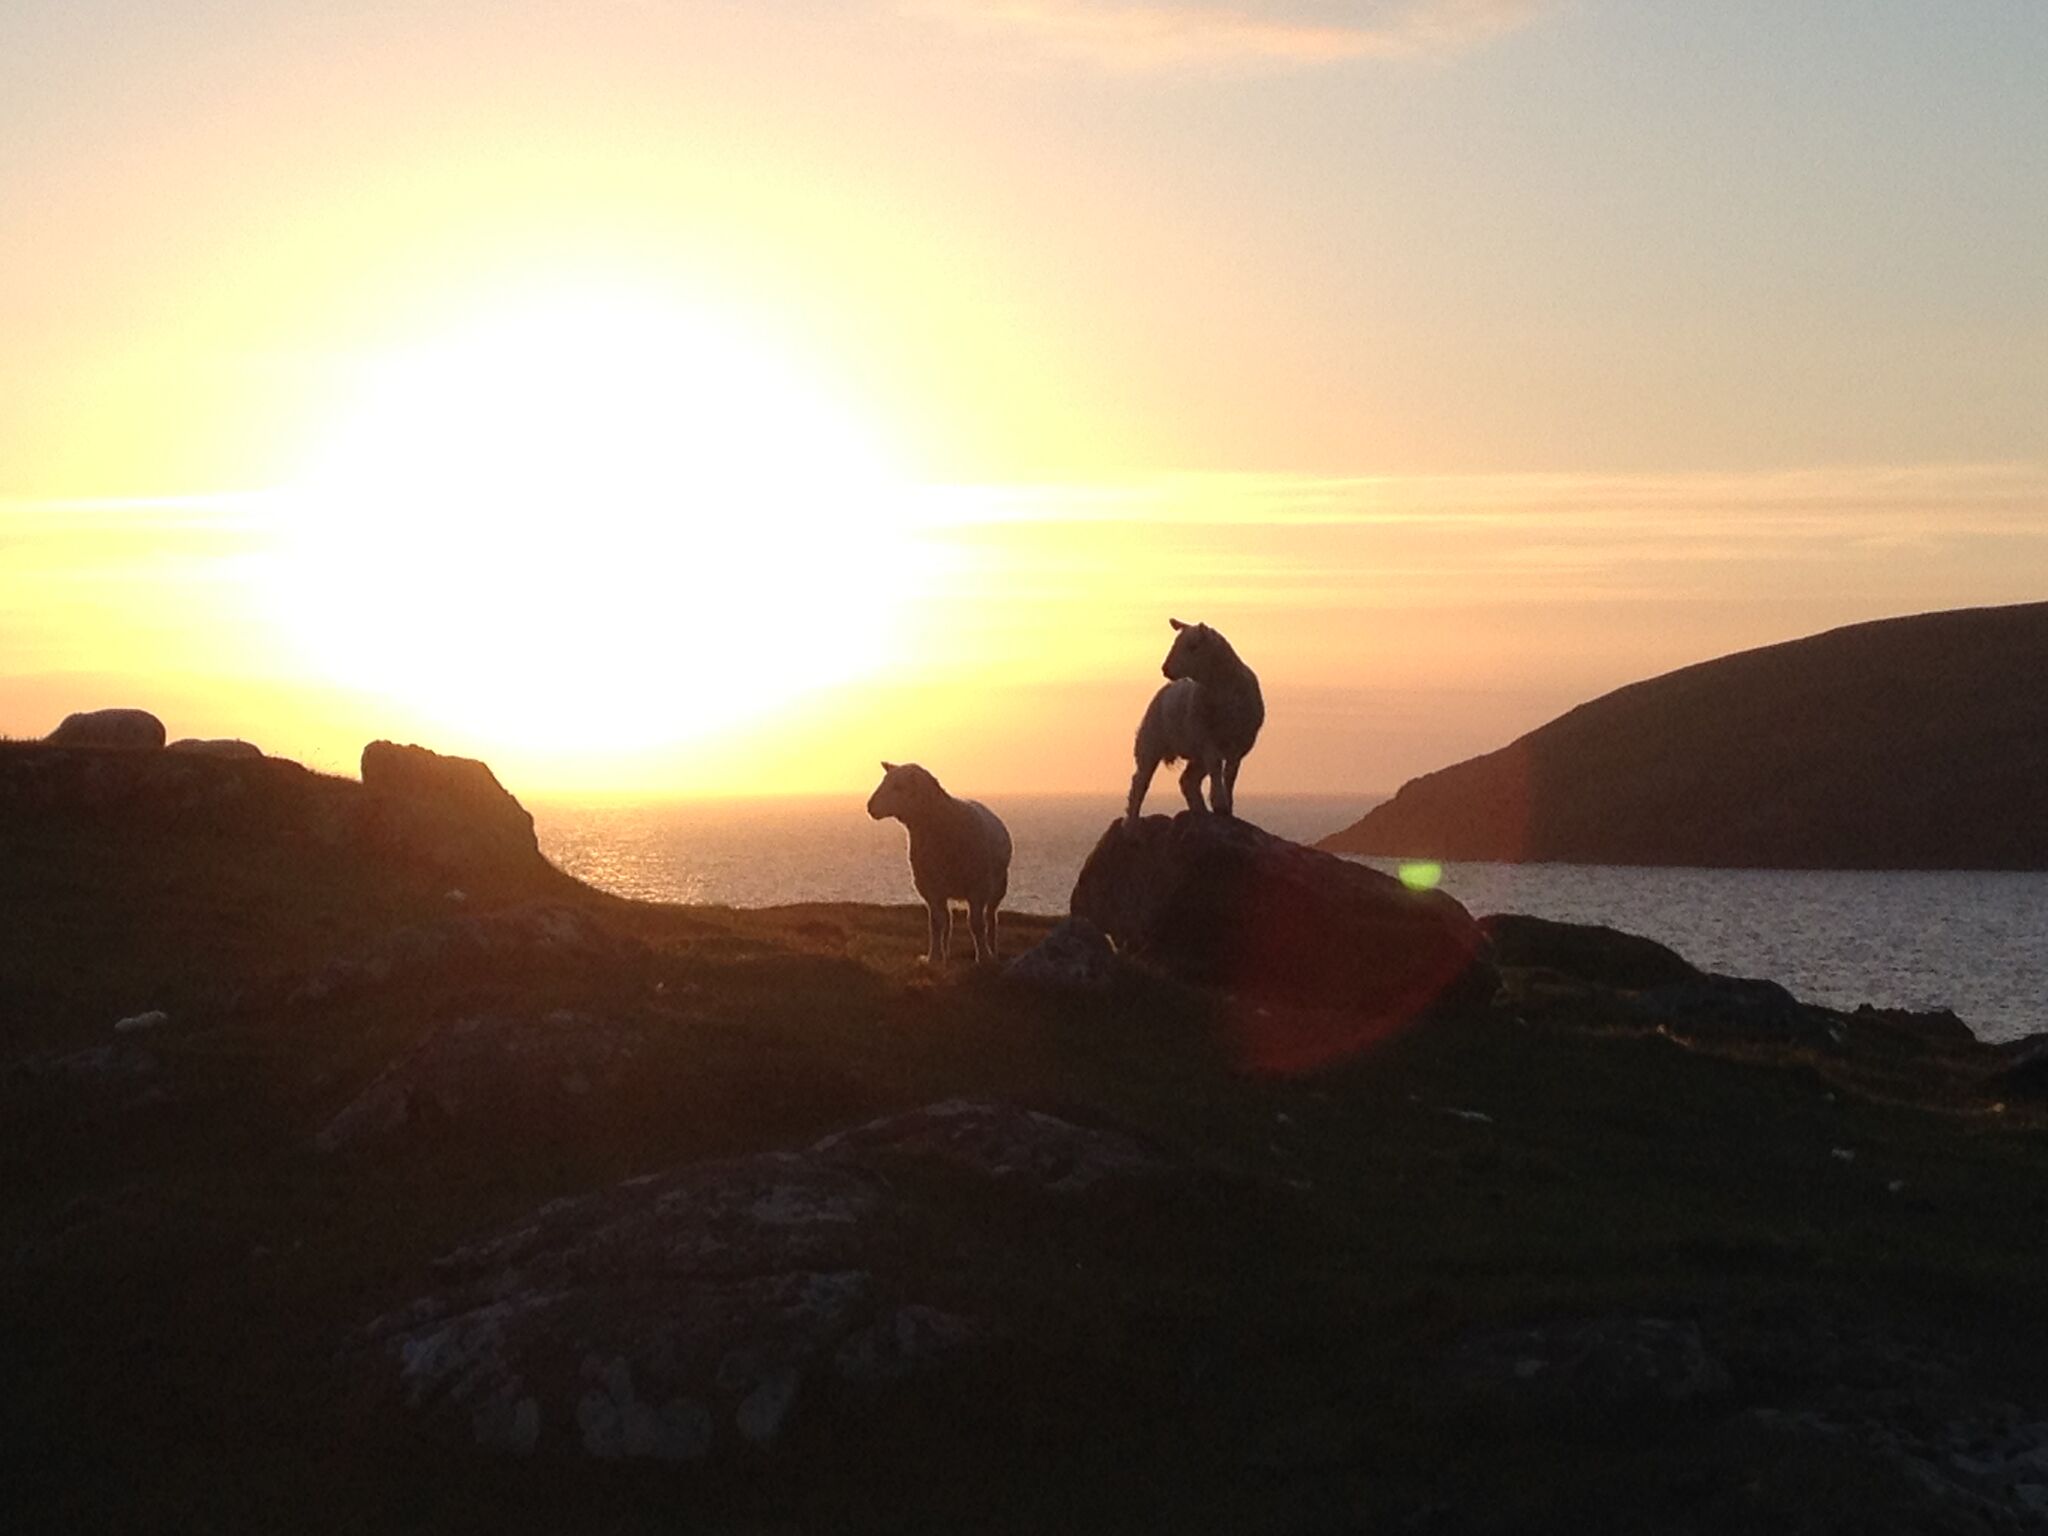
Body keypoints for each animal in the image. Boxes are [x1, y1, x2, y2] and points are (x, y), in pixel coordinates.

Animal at [868, 765, 1011, 966]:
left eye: (898, 786)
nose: (870, 806)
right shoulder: (930, 887)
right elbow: (936, 923)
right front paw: (934, 957)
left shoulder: (978, 888)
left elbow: (975, 923)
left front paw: (983, 957)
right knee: (948, 918)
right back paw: (946, 953)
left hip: (998, 887)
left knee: (990, 917)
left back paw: (992, 951)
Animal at [1122, 618, 1261, 831]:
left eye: (1192, 646)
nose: (1165, 669)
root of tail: (1165, 690)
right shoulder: (1207, 738)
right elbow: (1216, 767)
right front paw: (1220, 804)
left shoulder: (1240, 743)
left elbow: (1230, 774)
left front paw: (1228, 808)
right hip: (1150, 742)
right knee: (1140, 781)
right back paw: (1131, 822)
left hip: (1195, 753)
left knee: (1187, 780)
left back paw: (1200, 812)